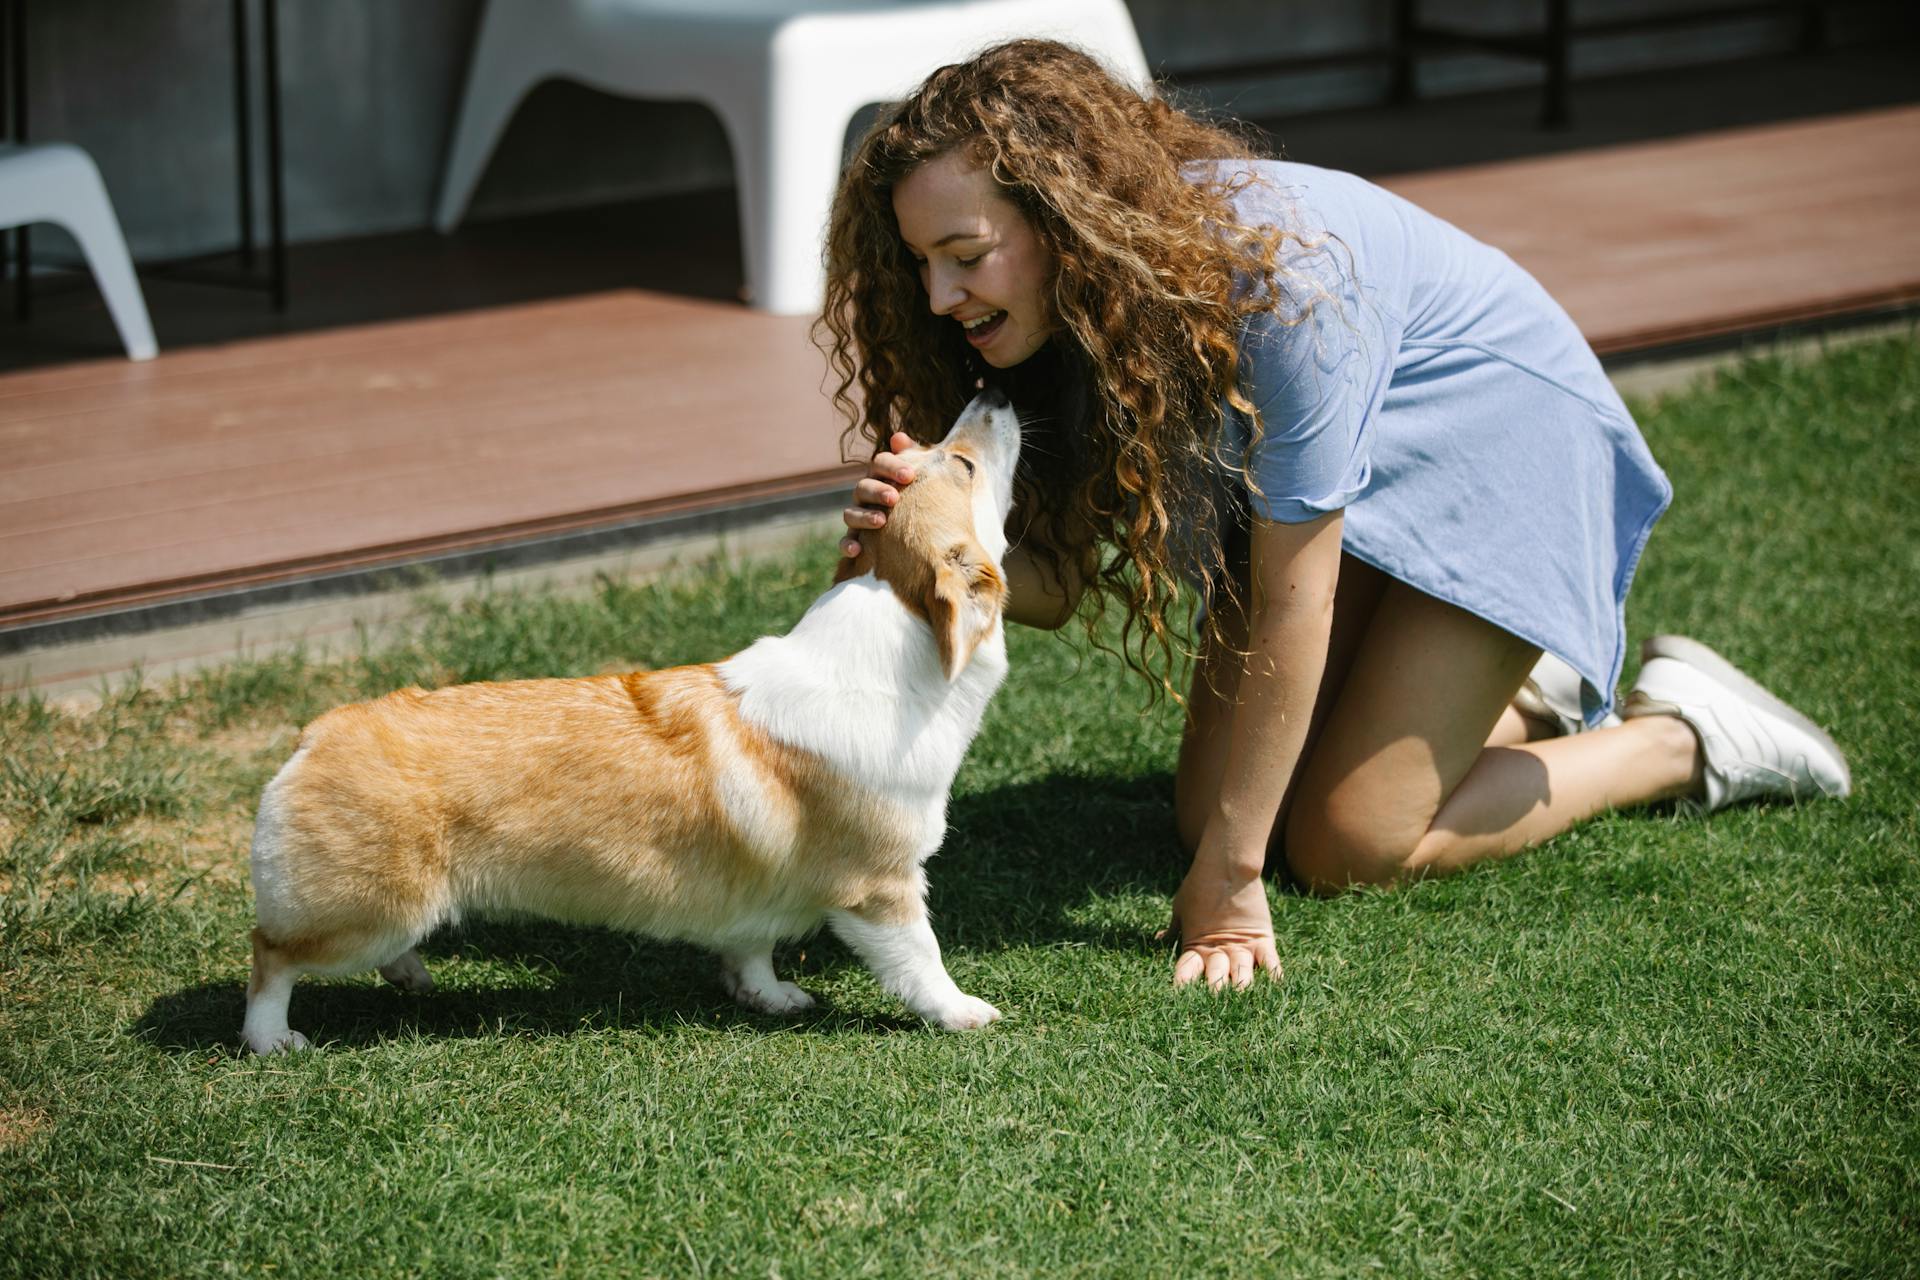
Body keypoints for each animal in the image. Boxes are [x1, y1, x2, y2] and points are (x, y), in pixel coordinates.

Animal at [247, 391, 1029, 1051]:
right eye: (962, 464)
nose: (992, 389)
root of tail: (318, 732)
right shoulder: (881, 887)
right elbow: (921, 959)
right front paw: (964, 1013)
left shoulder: (755, 893)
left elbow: (752, 948)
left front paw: (769, 997)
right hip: (371, 910)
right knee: (271, 955)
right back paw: (273, 1039)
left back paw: (410, 976)